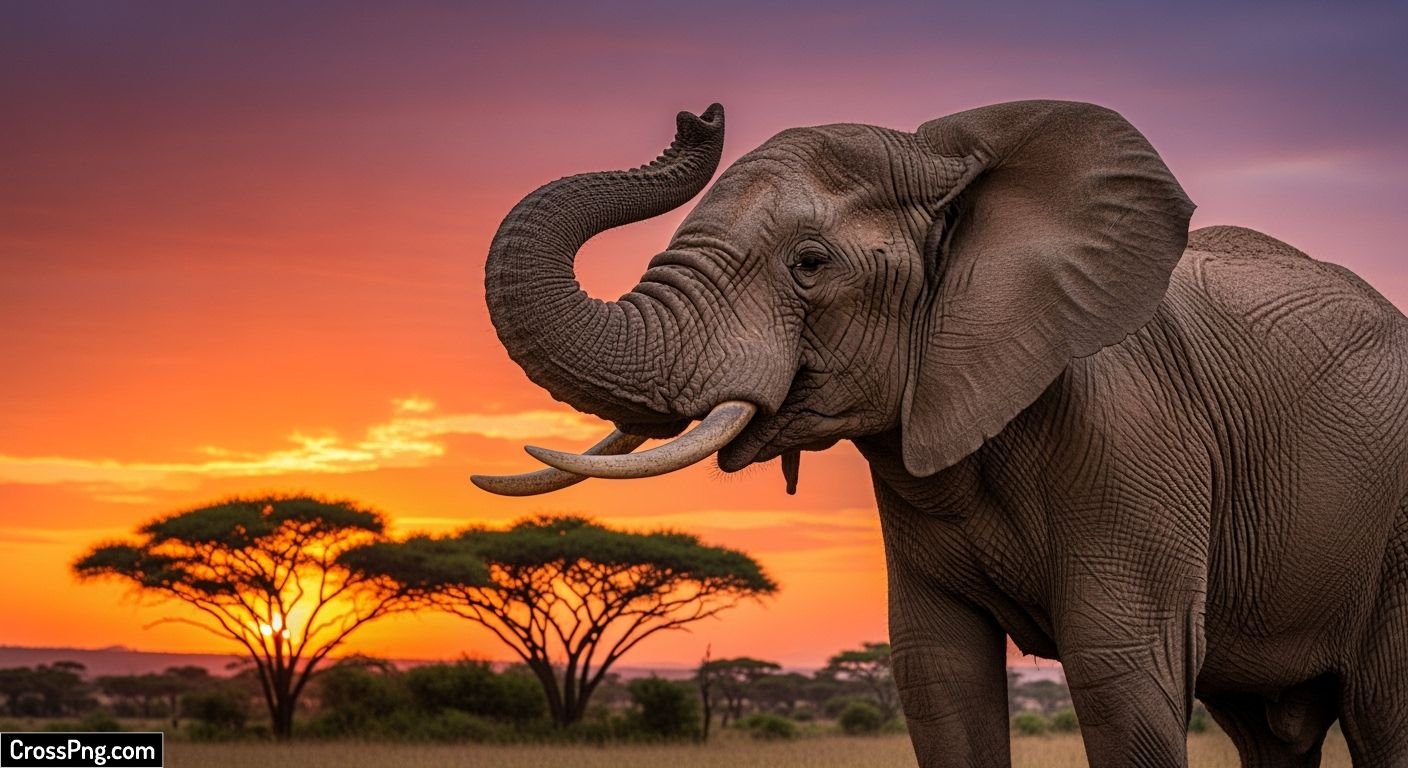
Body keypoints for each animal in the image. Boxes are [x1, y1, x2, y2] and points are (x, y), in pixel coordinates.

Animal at [471, 100, 1408, 767]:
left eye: (810, 264)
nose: (698, 118)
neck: (954, 168)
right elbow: (940, 676)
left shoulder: (1137, 435)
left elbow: (1120, 675)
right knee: (1271, 733)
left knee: (1381, 714)